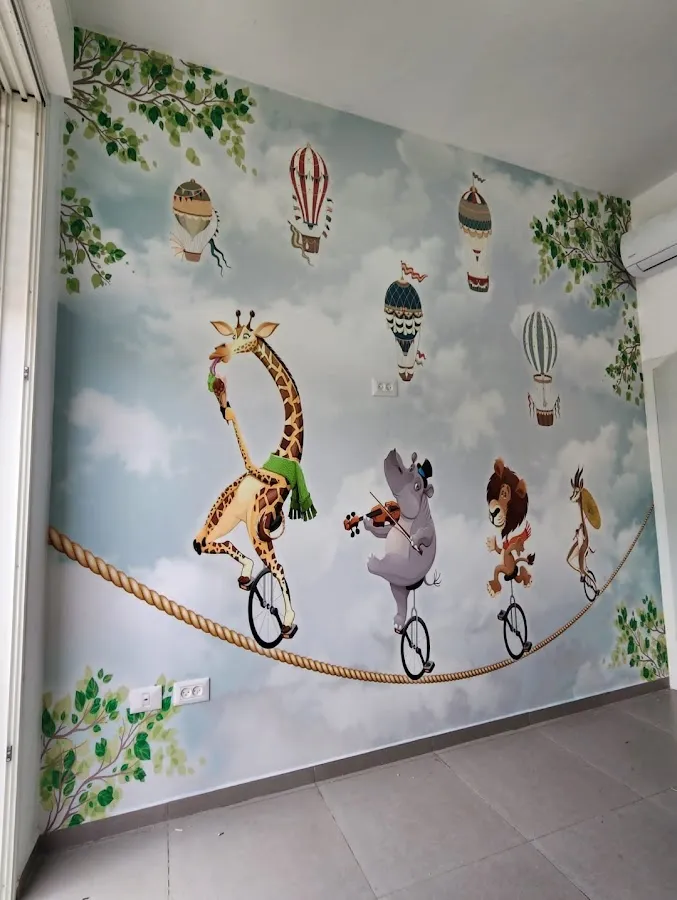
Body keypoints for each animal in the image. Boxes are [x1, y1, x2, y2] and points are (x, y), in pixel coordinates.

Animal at [193, 310, 304, 638]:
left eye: (246, 336)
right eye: (231, 335)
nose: (218, 352)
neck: (285, 457)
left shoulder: (263, 522)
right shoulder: (261, 523)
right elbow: (279, 569)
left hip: (238, 524)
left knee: (207, 544)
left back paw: (250, 581)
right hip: (236, 523)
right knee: (206, 544)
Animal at [365, 449, 437, 631]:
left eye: (418, 486)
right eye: (410, 466)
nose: (393, 453)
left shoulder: (428, 528)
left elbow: (426, 534)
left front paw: (414, 540)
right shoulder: (394, 525)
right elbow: (382, 532)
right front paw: (366, 522)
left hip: (402, 568)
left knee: (388, 567)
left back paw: (372, 561)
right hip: (397, 586)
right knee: (400, 600)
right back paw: (398, 622)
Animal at [485, 458, 535, 600]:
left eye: (505, 494)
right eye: (497, 493)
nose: (493, 513)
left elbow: (511, 548)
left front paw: (517, 545)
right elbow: (499, 549)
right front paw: (492, 544)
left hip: (507, 570)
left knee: (506, 572)